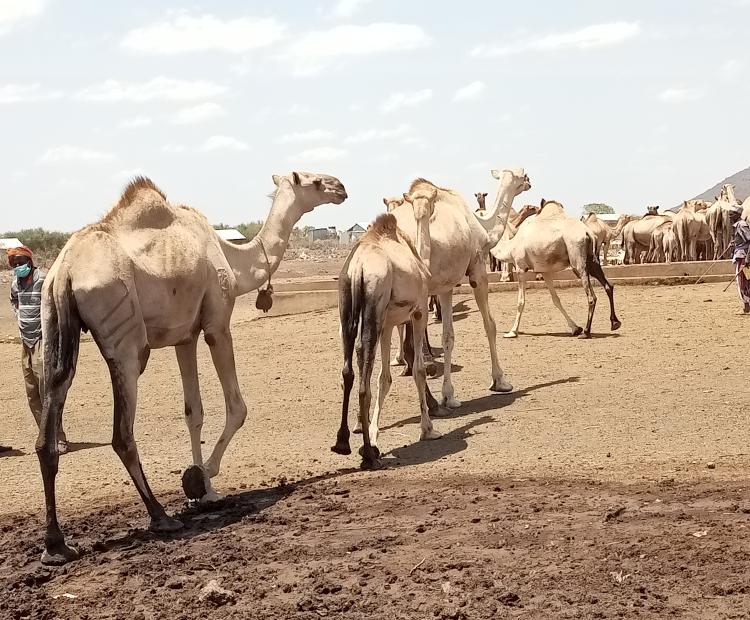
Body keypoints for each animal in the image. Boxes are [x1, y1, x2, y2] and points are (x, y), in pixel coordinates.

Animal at [36, 172, 347, 565]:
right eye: (314, 181)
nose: (342, 187)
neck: (232, 257)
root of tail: (64, 271)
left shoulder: (184, 337)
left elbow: (193, 411)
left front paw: (205, 492)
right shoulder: (216, 323)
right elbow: (237, 407)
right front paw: (199, 479)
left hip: (53, 326)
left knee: (48, 422)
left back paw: (56, 546)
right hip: (124, 342)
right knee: (122, 435)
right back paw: (160, 517)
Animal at [332, 212, 439, 470]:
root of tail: (358, 267)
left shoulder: (389, 323)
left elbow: (385, 378)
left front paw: (373, 432)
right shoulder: (419, 310)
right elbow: (418, 370)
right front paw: (428, 429)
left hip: (347, 305)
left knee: (348, 371)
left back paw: (343, 443)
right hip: (376, 302)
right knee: (364, 377)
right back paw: (369, 455)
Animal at [391, 168, 531, 408]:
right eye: (523, 175)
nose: (529, 182)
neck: (482, 228)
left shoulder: (446, 286)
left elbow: (448, 336)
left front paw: (449, 395)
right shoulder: (477, 268)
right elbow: (490, 324)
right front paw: (500, 381)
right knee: (410, 346)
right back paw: (430, 401)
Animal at [491, 199, 621, 338]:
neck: (510, 246)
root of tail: (588, 232)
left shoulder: (521, 267)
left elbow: (521, 301)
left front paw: (512, 331)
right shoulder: (545, 271)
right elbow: (556, 299)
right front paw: (575, 328)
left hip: (577, 260)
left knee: (592, 296)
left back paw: (586, 332)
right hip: (592, 259)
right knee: (609, 285)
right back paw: (614, 323)